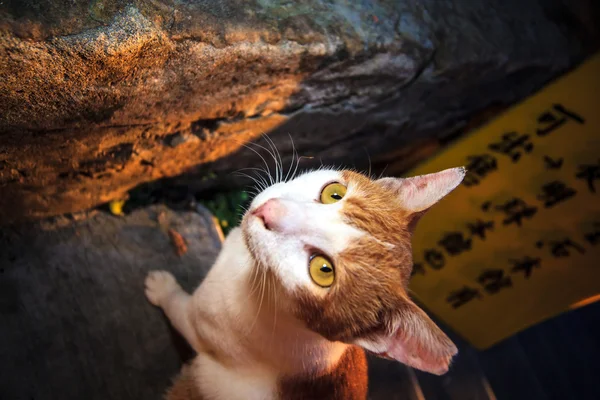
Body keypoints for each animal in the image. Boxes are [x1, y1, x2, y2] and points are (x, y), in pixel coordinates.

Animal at [144, 165, 464, 396]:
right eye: (334, 193)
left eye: (323, 270)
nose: (269, 211)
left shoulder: (205, 328)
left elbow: (178, 308)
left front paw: (160, 286)